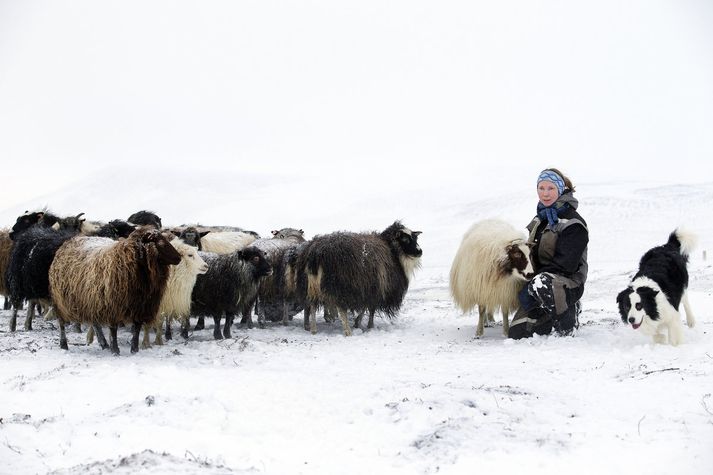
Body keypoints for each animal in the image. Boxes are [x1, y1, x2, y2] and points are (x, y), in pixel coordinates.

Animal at [48, 229, 181, 356]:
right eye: (161, 243)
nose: (179, 258)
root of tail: (68, 242)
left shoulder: (140, 306)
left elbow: (137, 328)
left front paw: (134, 349)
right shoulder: (112, 304)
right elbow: (113, 329)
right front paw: (115, 350)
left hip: (91, 300)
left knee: (95, 323)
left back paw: (104, 344)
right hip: (61, 301)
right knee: (61, 323)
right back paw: (64, 344)